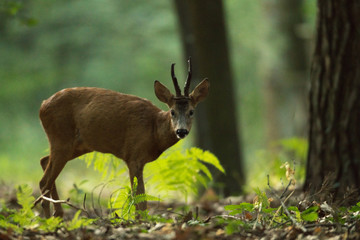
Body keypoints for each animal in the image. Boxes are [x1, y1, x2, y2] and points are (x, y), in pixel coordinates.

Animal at [38, 58, 208, 218]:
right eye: (172, 111)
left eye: (191, 111)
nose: (181, 131)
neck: (154, 130)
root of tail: (42, 106)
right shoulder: (133, 156)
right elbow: (140, 200)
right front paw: (140, 221)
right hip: (61, 138)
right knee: (44, 181)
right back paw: (48, 219)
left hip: (78, 145)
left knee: (44, 161)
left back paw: (58, 214)